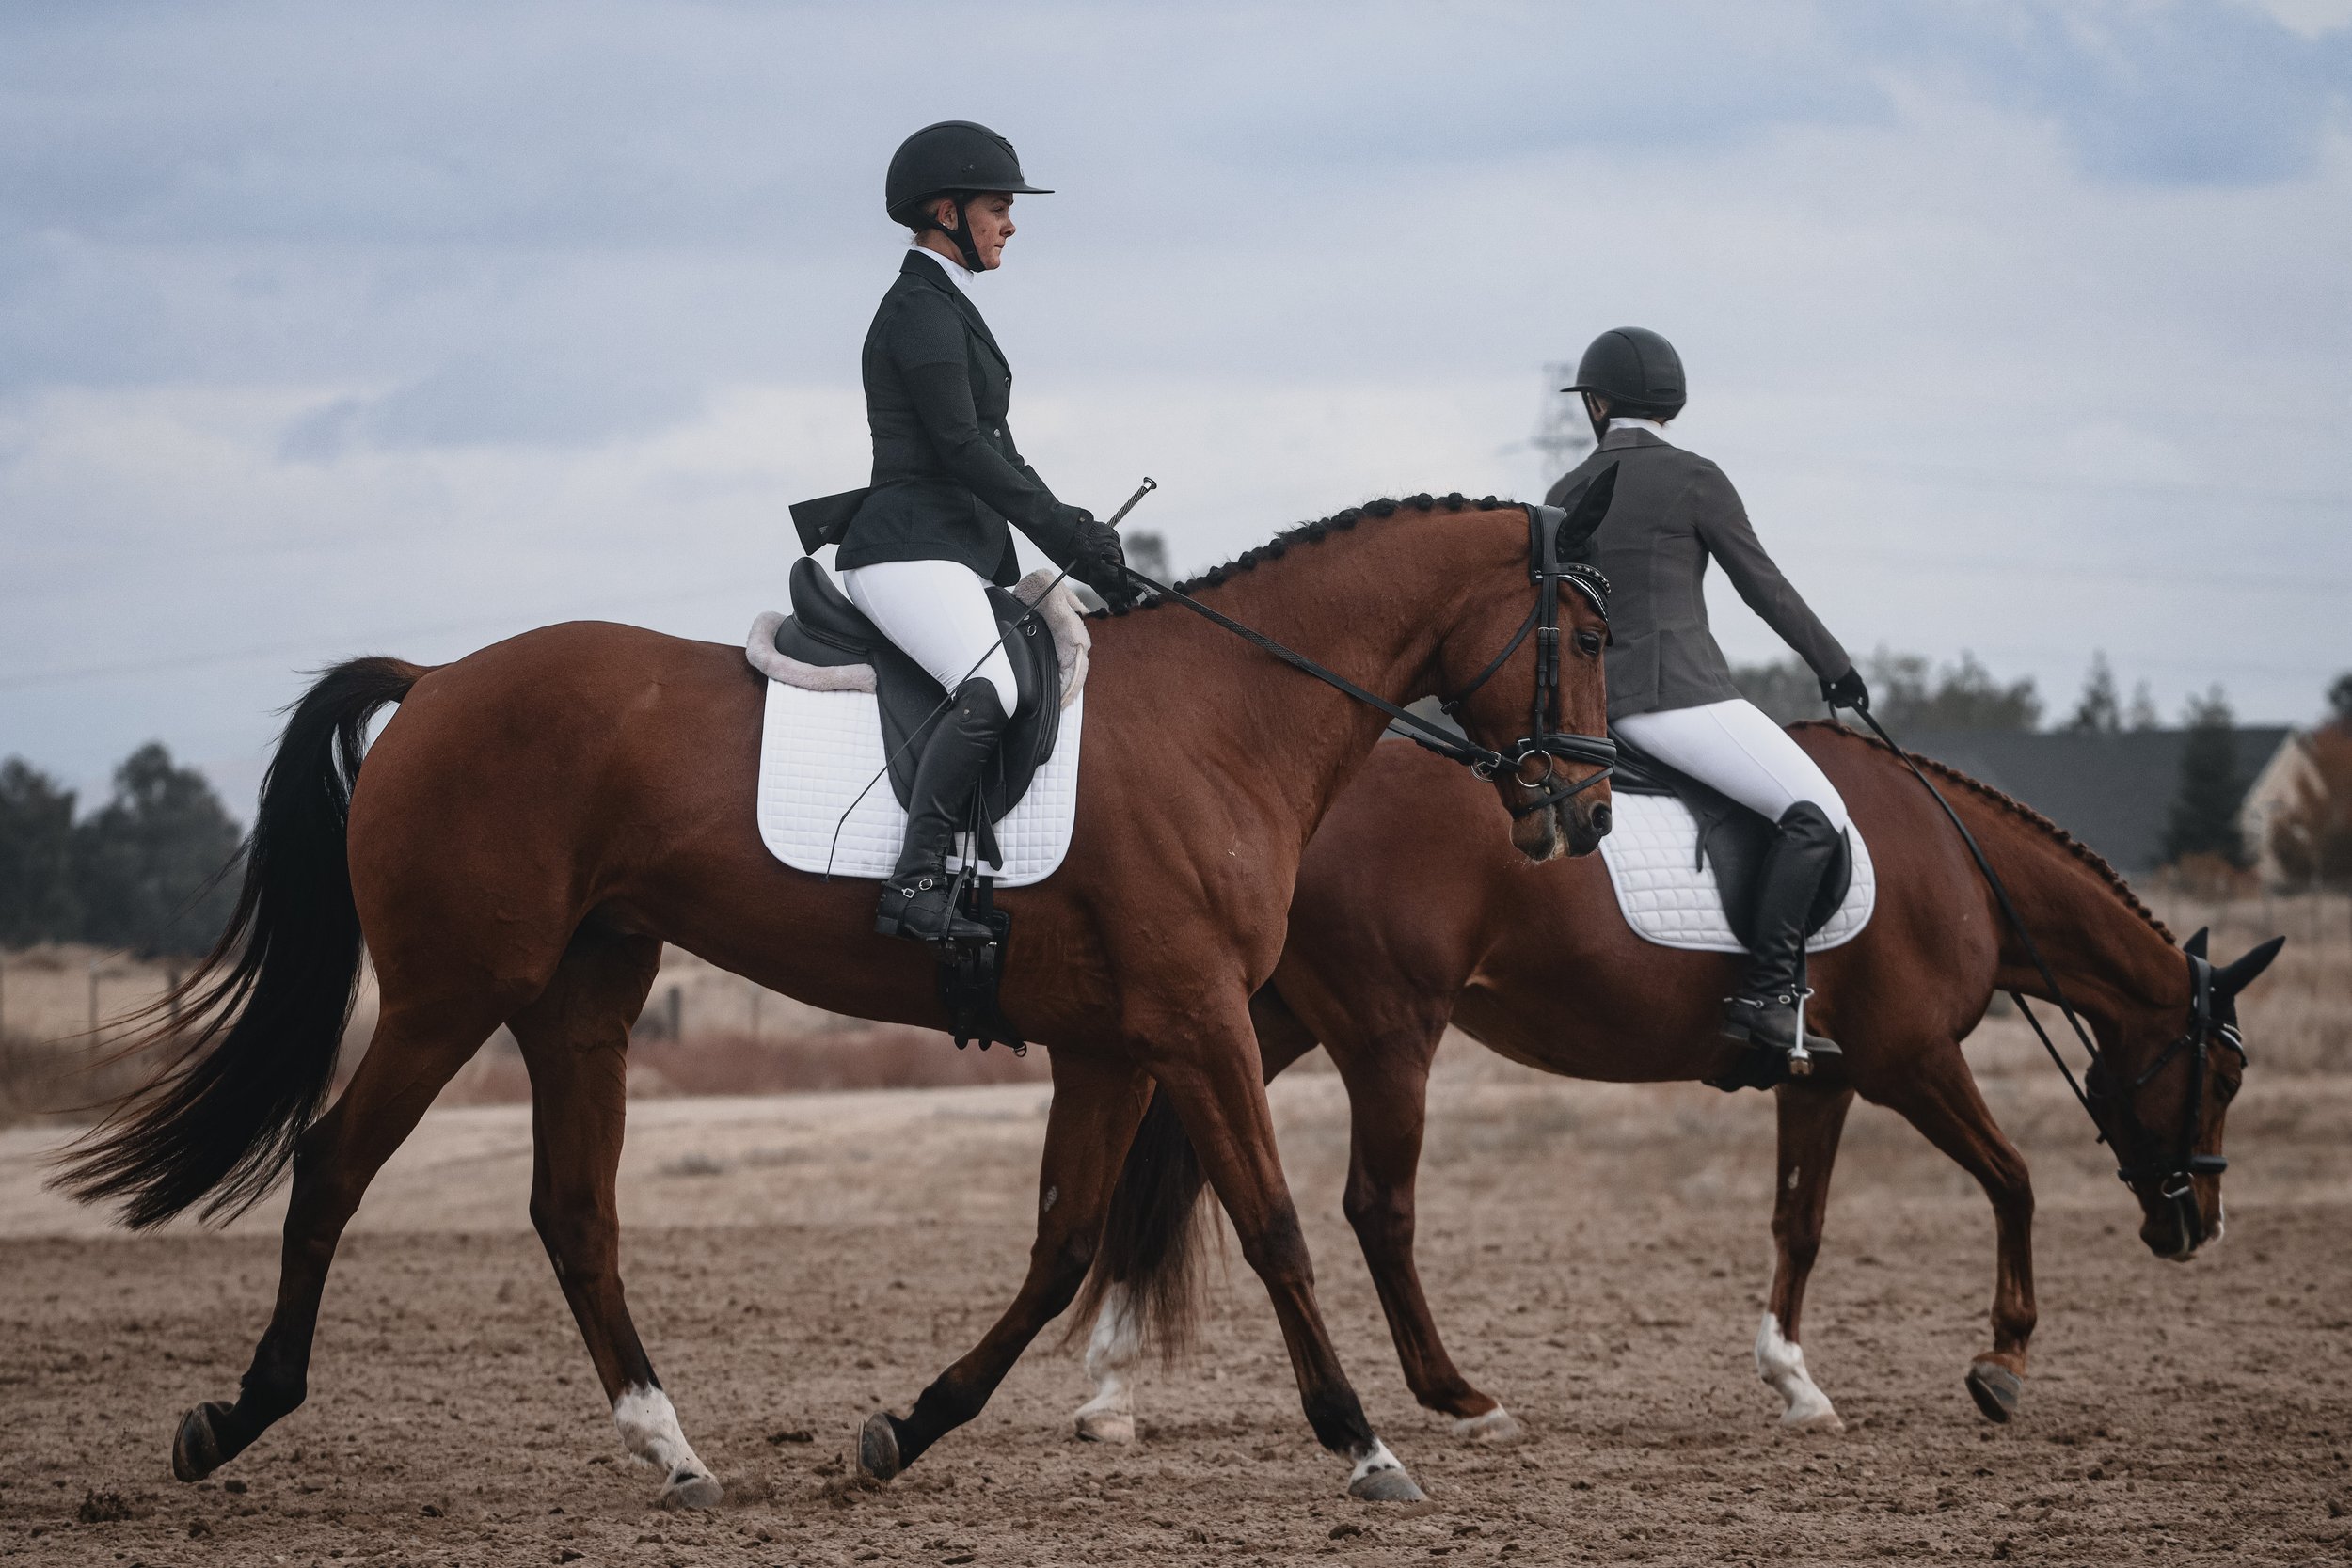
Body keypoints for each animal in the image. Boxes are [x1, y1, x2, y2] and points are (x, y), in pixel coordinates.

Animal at [55, 491, 1617, 1510]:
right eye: (1588, 639)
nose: (1586, 811)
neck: (1226, 715)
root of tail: (437, 679)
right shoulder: (1195, 1022)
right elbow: (1277, 1223)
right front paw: (1367, 1442)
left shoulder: (1114, 1044)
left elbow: (1061, 1245)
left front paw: (906, 1428)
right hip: (452, 991)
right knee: (333, 1165)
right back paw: (232, 1418)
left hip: (582, 1000)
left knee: (573, 1210)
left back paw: (673, 1451)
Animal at [1065, 726, 2285, 1446]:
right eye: (2224, 1070)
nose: (2199, 1225)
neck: (1954, 867)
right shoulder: (1913, 1061)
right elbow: (2015, 1179)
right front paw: (2002, 1361)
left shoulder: (1823, 1079)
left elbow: (1801, 1220)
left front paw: (1794, 1381)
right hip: (1386, 1034)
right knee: (1376, 1208)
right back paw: (1459, 1395)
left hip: (1269, 1019)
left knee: (1176, 1174)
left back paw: (1111, 1389)